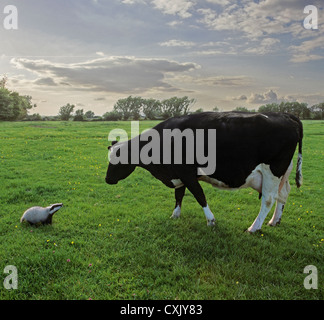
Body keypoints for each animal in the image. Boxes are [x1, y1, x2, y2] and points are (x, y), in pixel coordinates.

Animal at [105, 112, 302, 232]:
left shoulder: (187, 174)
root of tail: (284, 115)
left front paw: (211, 220)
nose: (107, 179)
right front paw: (175, 215)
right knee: (283, 194)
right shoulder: (178, 174)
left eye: (117, 161)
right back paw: (274, 221)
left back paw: (253, 228)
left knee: (268, 199)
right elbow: (179, 195)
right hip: (283, 173)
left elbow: (199, 196)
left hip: (272, 171)